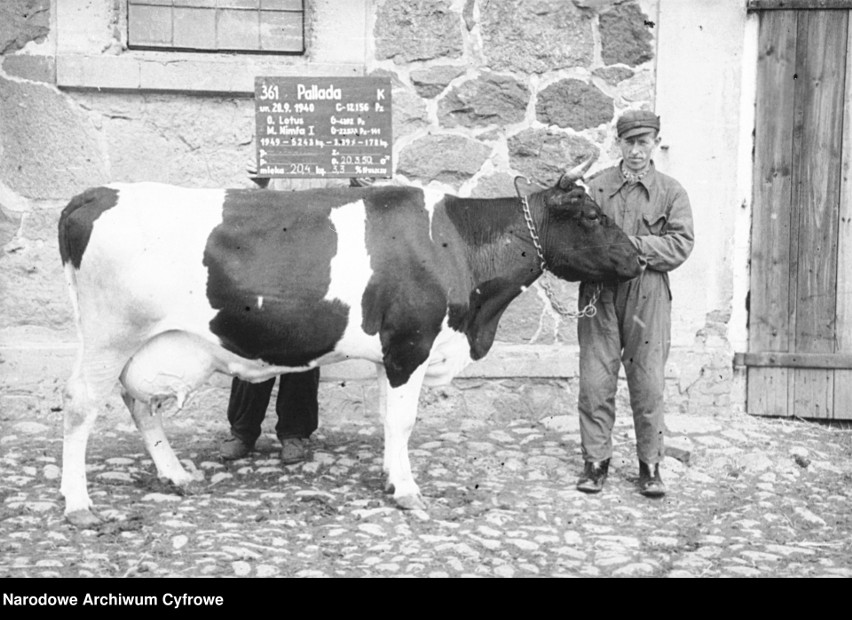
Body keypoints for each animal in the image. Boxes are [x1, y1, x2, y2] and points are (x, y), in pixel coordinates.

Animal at [56, 157, 644, 524]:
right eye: (593, 215)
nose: (638, 258)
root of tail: (94, 193)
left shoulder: (392, 352)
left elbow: (389, 419)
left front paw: (389, 478)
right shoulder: (410, 344)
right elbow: (403, 421)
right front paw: (407, 492)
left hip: (140, 344)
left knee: (137, 402)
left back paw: (176, 475)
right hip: (110, 334)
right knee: (81, 405)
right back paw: (78, 504)